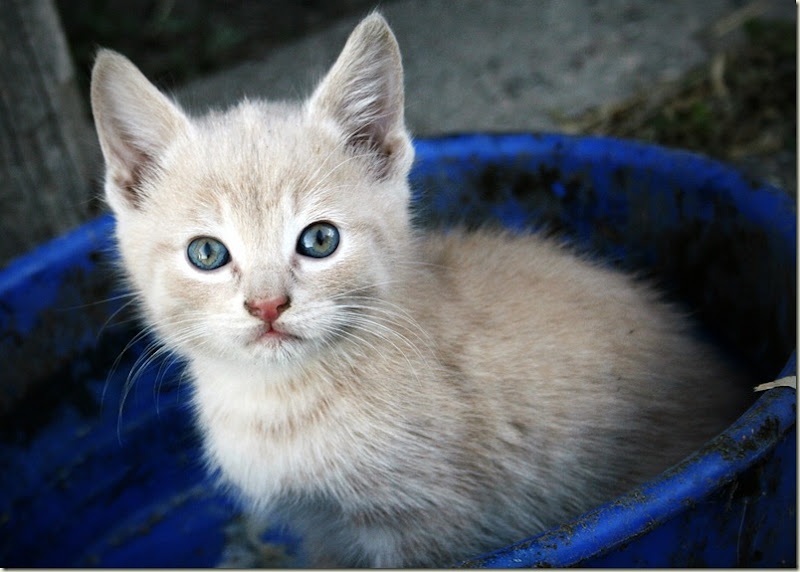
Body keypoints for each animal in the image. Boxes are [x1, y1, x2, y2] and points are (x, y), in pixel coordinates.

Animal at [92, 12, 752, 568]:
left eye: (320, 240)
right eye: (207, 254)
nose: (267, 305)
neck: (280, 398)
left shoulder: (430, 523)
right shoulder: (323, 532)